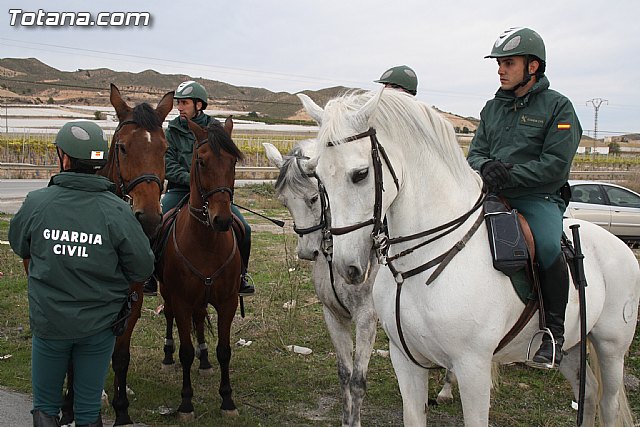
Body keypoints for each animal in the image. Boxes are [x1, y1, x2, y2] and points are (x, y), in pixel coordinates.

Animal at [155, 117, 243, 420]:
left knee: (201, 318)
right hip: (167, 292)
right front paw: (185, 403)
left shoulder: (228, 301)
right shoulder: (181, 300)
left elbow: (225, 350)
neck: (206, 242)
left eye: (233, 162)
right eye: (201, 161)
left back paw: (204, 361)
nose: (222, 220)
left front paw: (228, 400)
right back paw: (167, 356)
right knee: (170, 317)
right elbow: (185, 351)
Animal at [296, 88, 640, 426]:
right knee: (589, 392)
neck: (420, 265)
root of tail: (620, 247)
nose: (347, 267)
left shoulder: (472, 367)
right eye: (318, 177)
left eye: (361, 174)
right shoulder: (405, 360)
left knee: (608, 402)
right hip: (571, 347)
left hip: (611, 347)